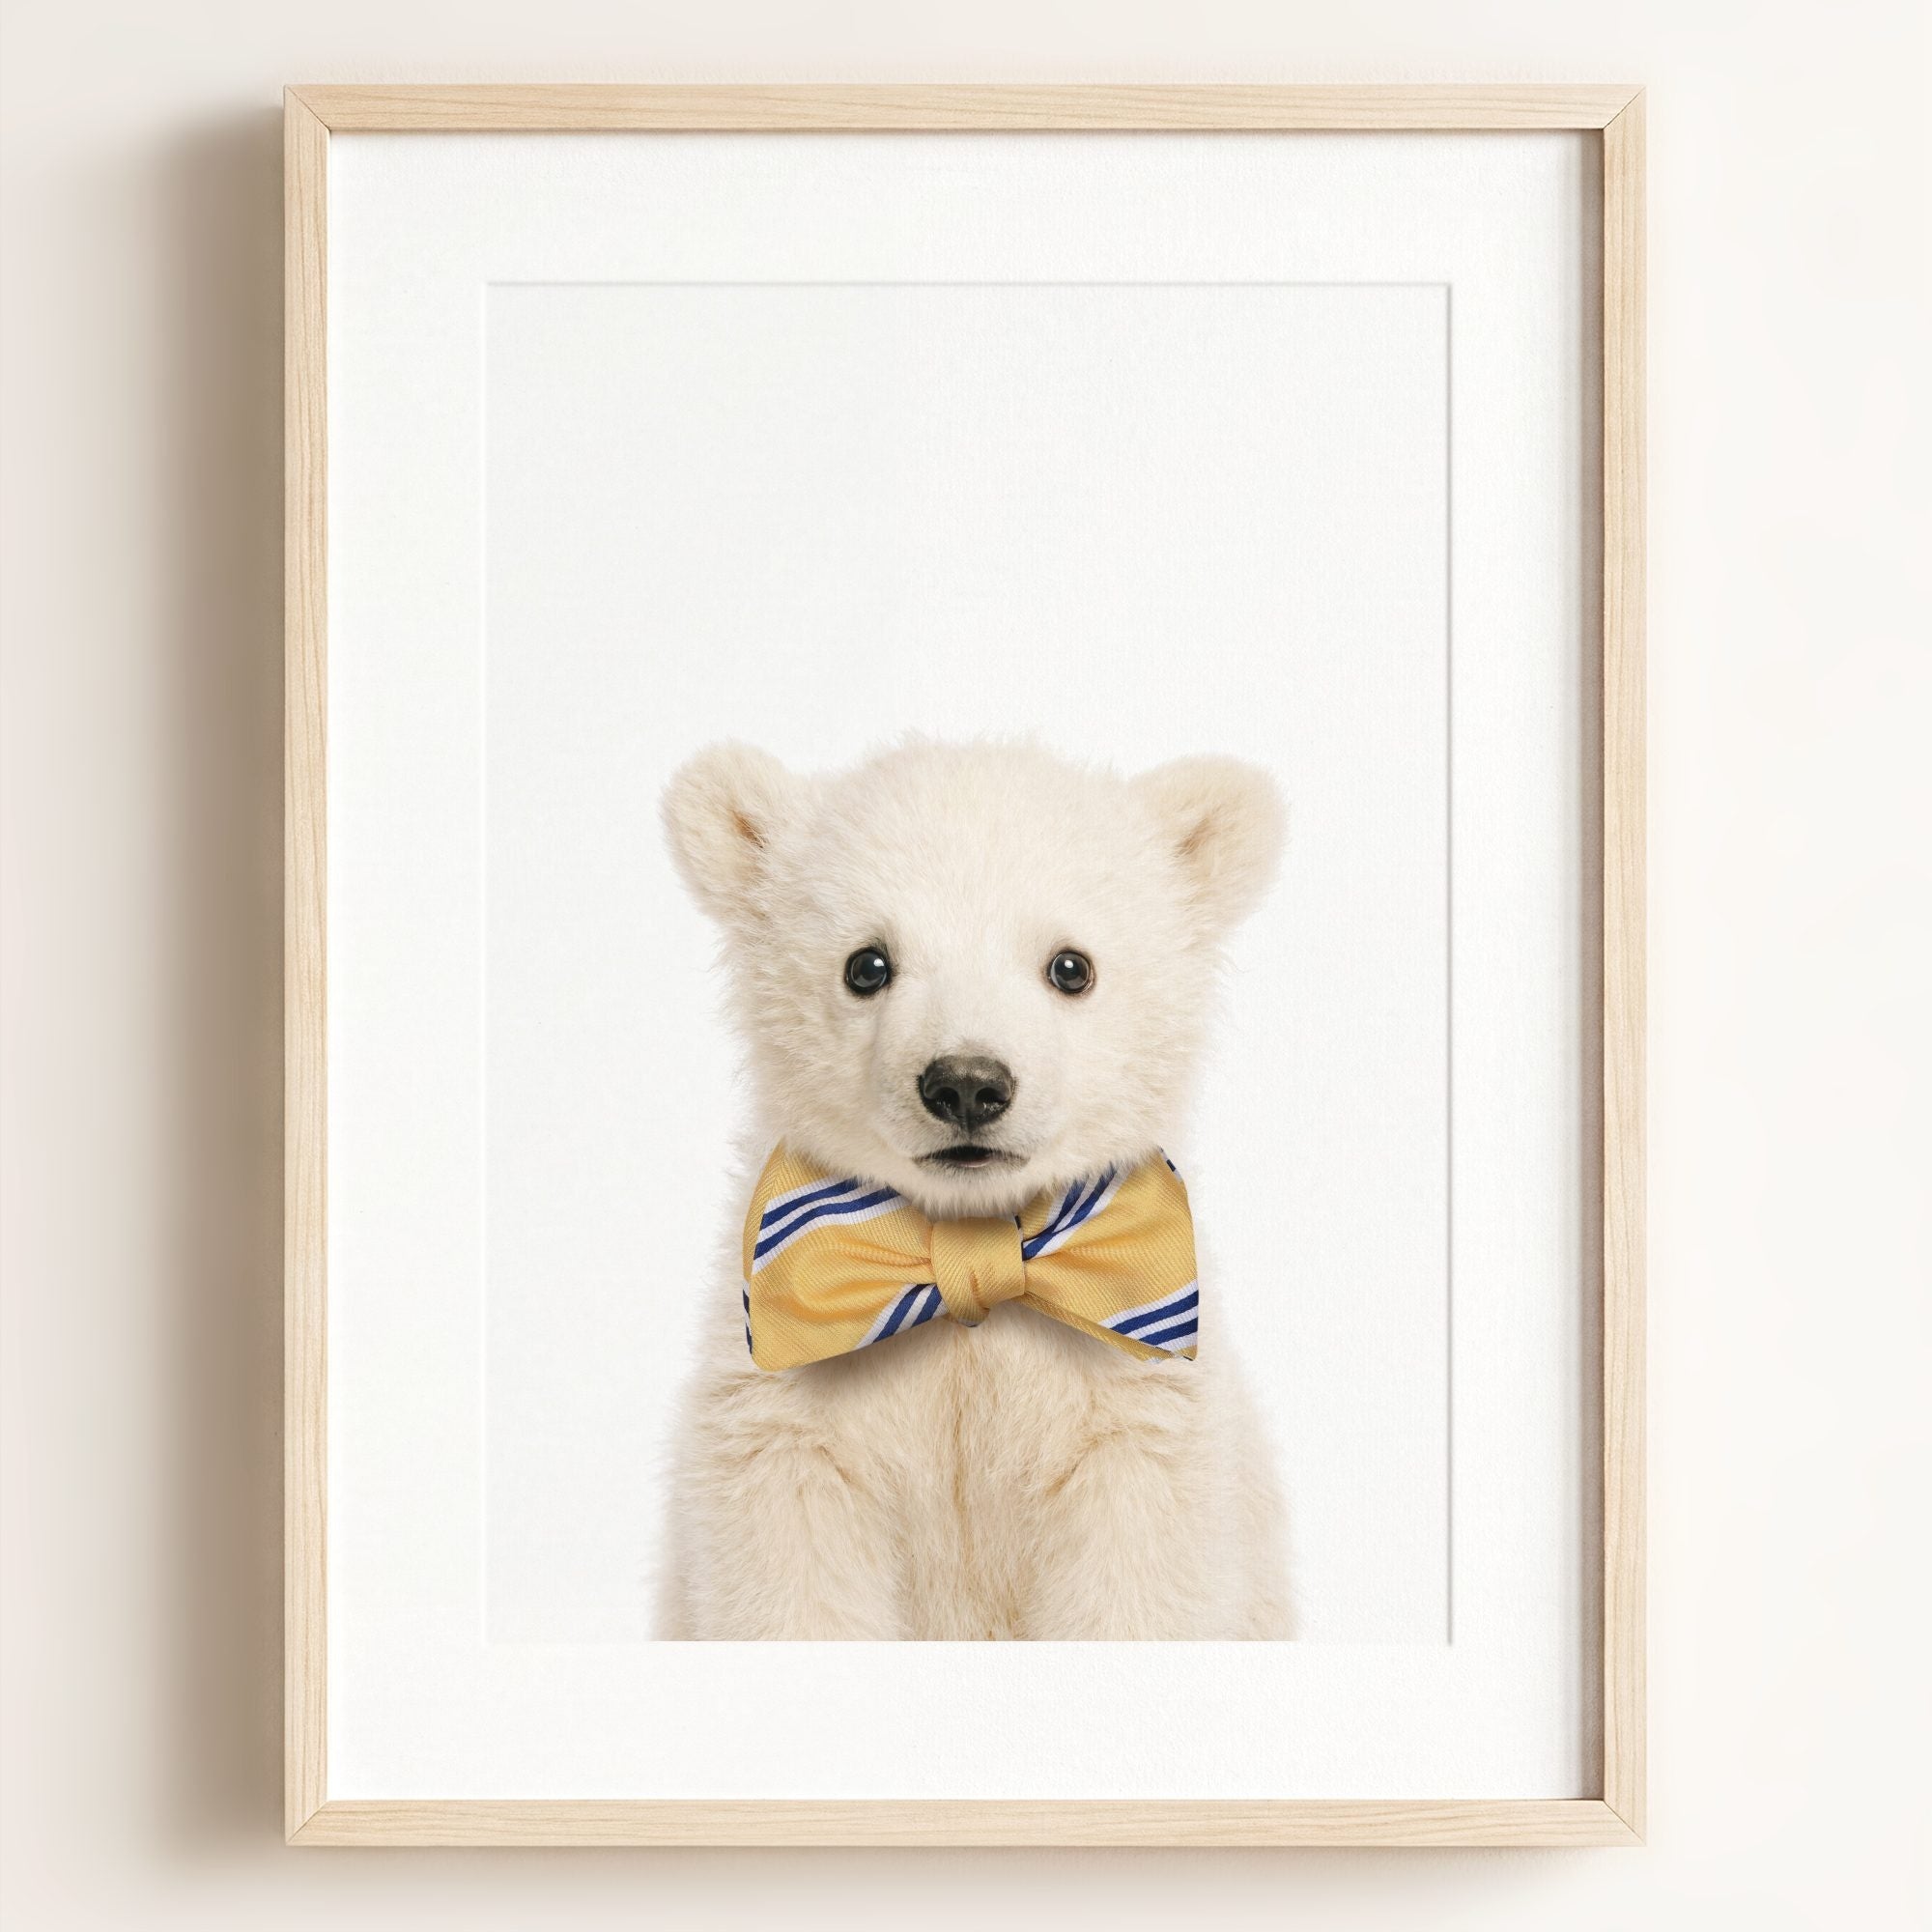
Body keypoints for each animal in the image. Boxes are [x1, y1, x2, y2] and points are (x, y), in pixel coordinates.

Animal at [654, 737, 1291, 1640]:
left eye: (1071, 967)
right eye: (867, 964)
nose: (966, 1084)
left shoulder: (1133, 1417)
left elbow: (1136, 1578)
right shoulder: (785, 1413)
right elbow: (790, 1573)